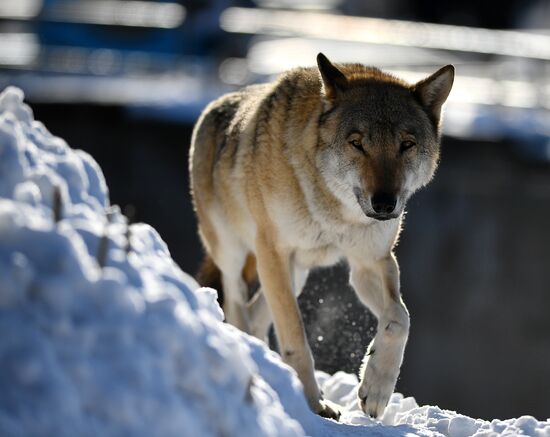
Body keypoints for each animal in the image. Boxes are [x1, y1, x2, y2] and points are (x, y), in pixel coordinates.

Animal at [188, 54, 454, 418]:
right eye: (357, 143)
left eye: (406, 145)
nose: (385, 204)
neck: (334, 210)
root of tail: (213, 107)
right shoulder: (272, 251)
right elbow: (296, 338)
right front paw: (314, 405)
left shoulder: (370, 261)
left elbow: (400, 319)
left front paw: (375, 388)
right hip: (235, 254)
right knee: (236, 304)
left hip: (294, 274)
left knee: (256, 316)